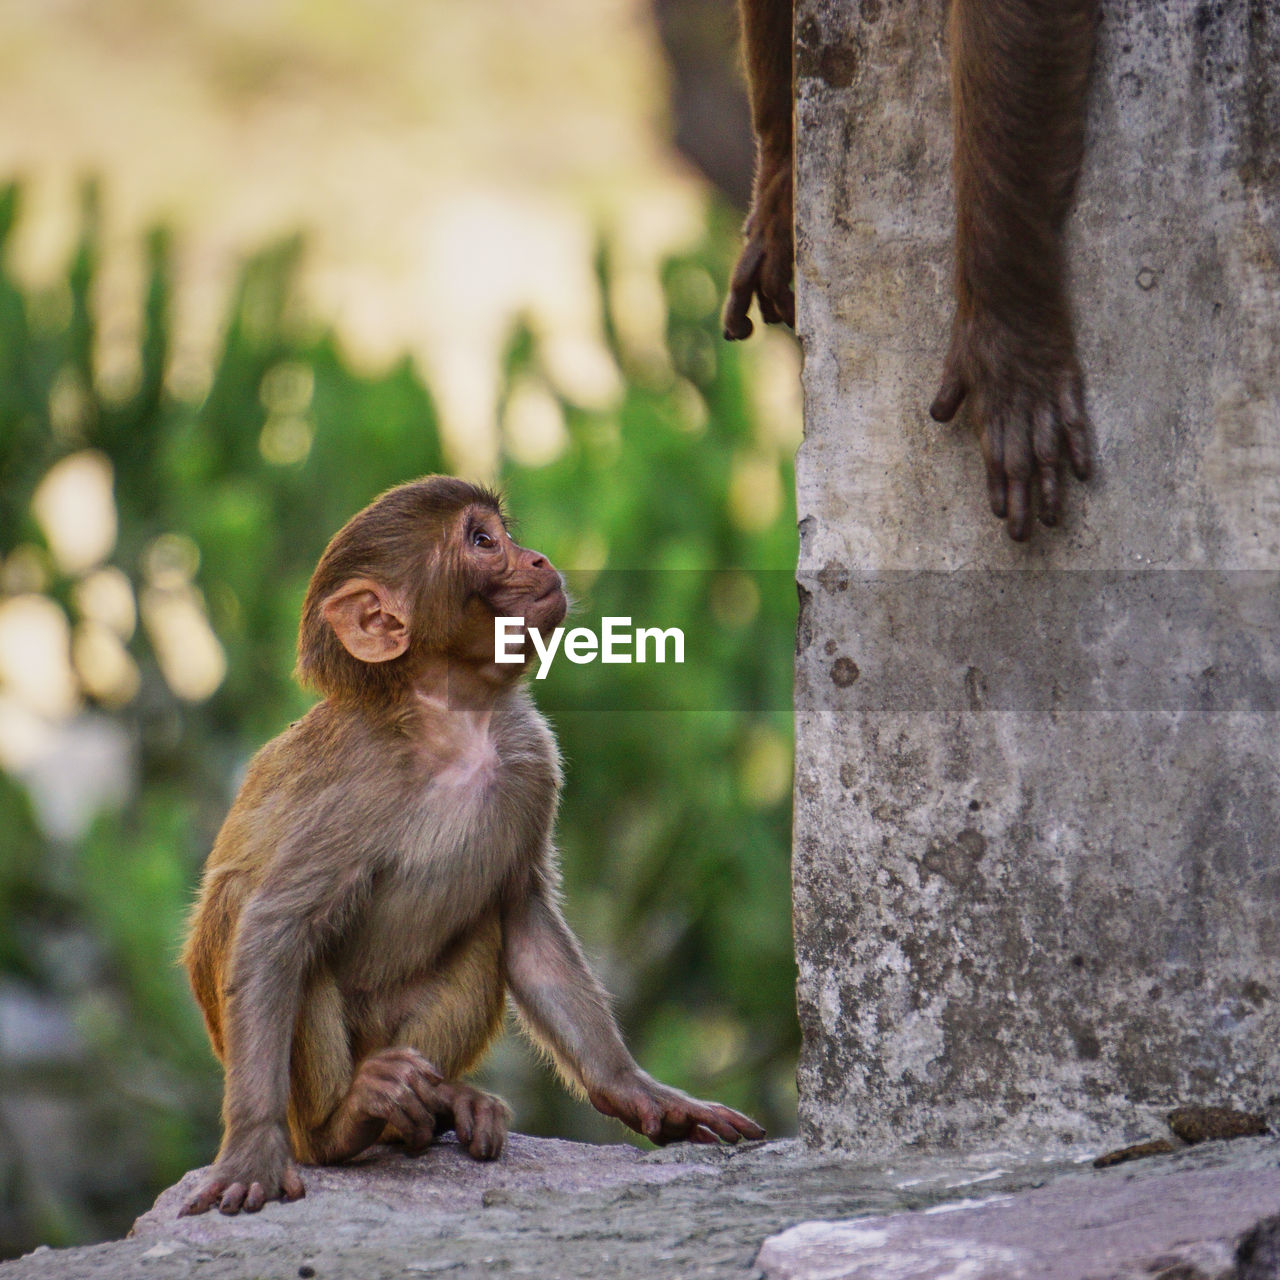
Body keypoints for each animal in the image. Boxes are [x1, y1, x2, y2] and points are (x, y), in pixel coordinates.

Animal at [180, 476, 757, 1213]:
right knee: (248, 912)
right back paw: (345, 1124)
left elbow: (522, 913)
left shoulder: (532, 757)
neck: (451, 722)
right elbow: (274, 927)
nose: (537, 558)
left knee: (483, 933)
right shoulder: (347, 788)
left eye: (504, 534)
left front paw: (635, 1088)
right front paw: (252, 1146)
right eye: (483, 542)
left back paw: (436, 1106)